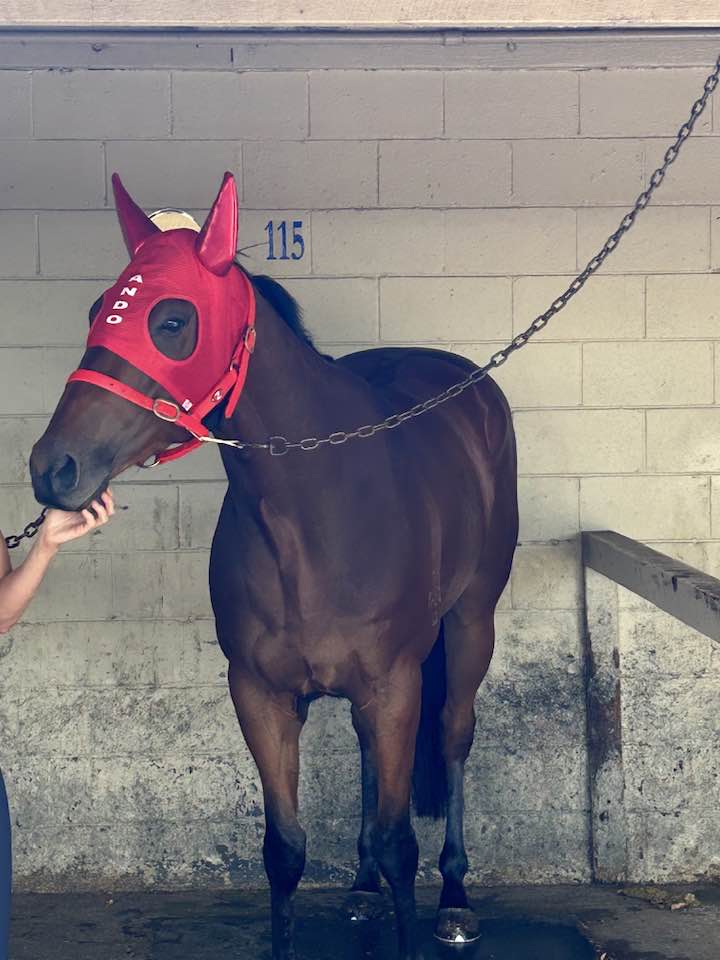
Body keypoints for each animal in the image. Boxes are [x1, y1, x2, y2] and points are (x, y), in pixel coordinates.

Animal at [28, 172, 516, 960]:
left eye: (172, 320)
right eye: (99, 309)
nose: (53, 467)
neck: (314, 515)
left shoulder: (396, 686)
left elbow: (400, 842)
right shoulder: (259, 694)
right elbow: (284, 850)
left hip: (472, 625)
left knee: (453, 738)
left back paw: (455, 898)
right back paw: (359, 889)